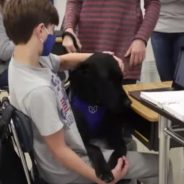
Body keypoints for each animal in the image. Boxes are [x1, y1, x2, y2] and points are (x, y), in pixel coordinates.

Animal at [69, 52, 132, 183]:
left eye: (121, 79)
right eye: (108, 80)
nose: (129, 103)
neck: (94, 105)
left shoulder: (116, 137)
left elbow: (120, 150)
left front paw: (113, 166)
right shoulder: (81, 139)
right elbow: (95, 148)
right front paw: (104, 171)